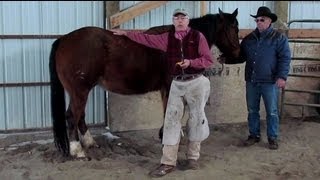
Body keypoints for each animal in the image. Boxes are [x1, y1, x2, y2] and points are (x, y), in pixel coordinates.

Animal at [49, 8, 240, 158]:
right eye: (233, 28)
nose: (237, 54)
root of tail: (64, 39)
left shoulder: (166, 88)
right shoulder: (170, 86)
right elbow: (171, 112)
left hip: (79, 91)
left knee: (80, 116)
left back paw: (89, 143)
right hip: (79, 91)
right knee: (72, 116)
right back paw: (77, 151)